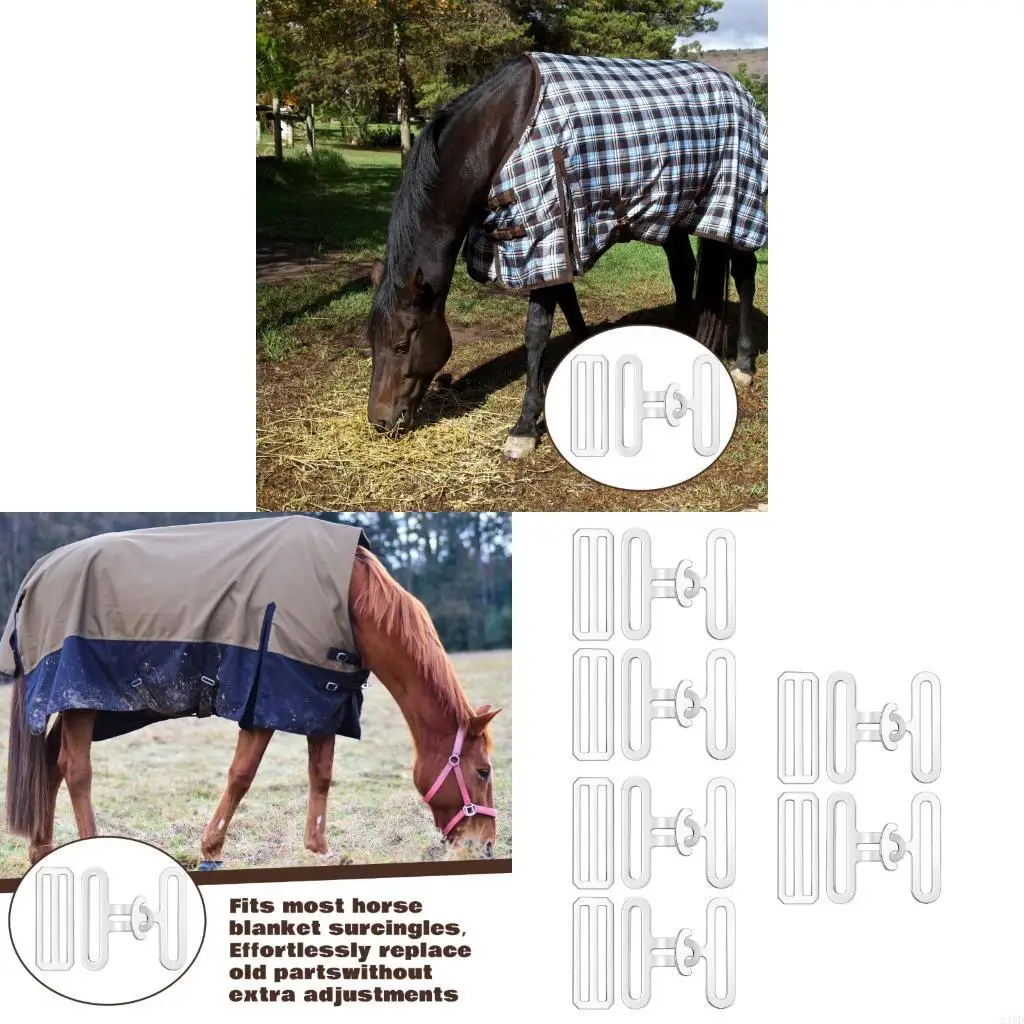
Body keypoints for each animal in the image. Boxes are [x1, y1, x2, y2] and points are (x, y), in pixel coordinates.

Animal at [3, 518, 502, 868]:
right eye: (482, 771)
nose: (485, 846)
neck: (350, 599)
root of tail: (37, 573)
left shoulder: (321, 698)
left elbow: (321, 775)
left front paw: (319, 849)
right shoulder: (264, 700)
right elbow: (241, 776)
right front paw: (211, 850)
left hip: (91, 708)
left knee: (51, 763)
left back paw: (40, 851)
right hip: (82, 700)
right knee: (76, 770)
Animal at [367, 52, 767, 459]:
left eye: (401, 344)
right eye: (371, 341)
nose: (380, 421)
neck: (500, 133)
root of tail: (740, 92)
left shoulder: (544, 232)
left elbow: (537, 331)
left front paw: (525, 427)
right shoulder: (550, 244)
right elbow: (568, 303)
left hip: (735, 208)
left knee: (744, 276)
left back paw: (744, 365)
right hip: (673, 214)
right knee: (683, 270)